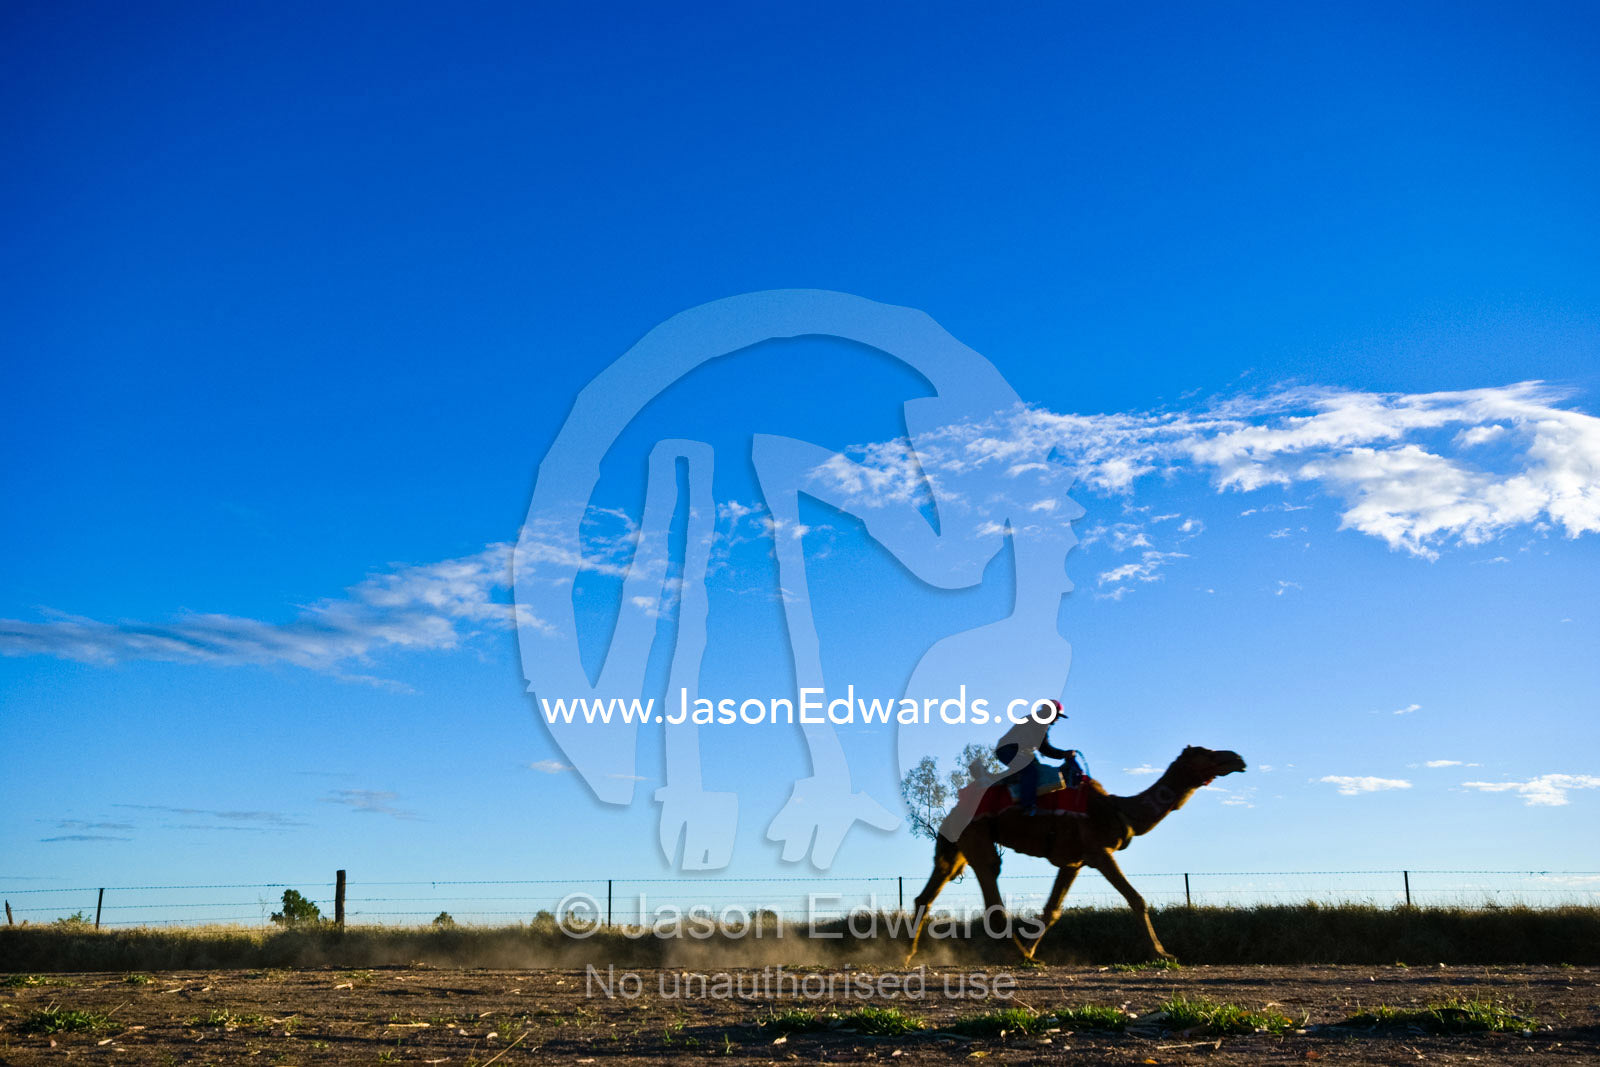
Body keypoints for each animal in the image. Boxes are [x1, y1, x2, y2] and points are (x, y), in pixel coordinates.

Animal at [905, 745, 1247, 963]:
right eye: (1204, 752)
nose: (1237, 758)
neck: (1117, 810)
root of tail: (953, 808)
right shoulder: (1098, 851)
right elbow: (1137, 899)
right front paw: (1162, 954)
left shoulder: (1073, 862)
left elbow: (1051, 911)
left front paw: (1032, 950)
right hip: (977, 836)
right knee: (991, 884)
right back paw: (1018, 955)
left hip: (957, 847)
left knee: (928, 894)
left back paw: (909, 954)